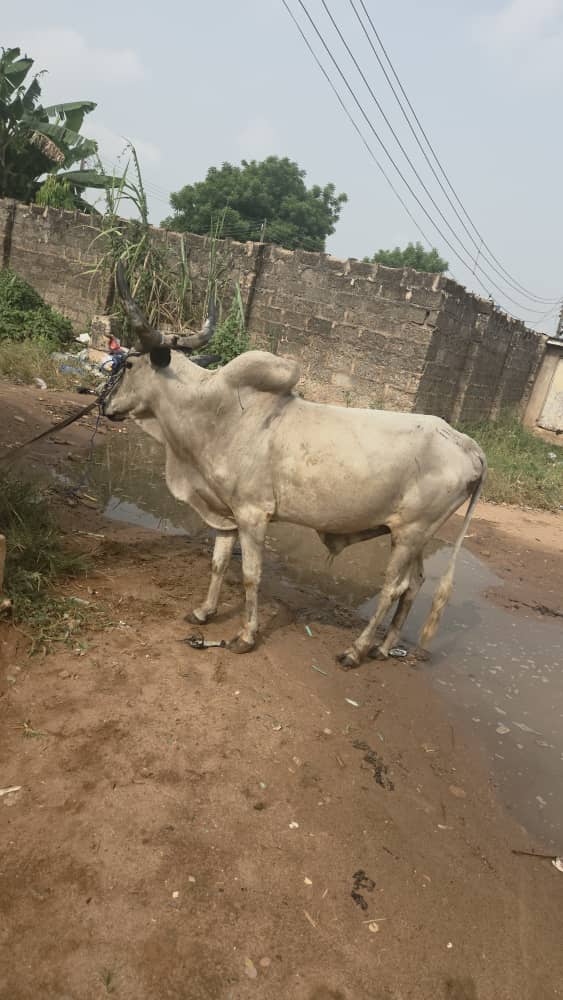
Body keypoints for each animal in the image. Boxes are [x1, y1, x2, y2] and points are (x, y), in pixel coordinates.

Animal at [103, 265, 487, 668]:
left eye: (130, 363)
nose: (107, 404)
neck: (216, 412)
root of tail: (467, 445)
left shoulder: (253, 514)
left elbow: (251, 574)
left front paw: (245, 636)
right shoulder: (225, 511)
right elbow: (218, 563)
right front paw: (204, 612)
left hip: (410, 533)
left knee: (392, 588)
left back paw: (356, 650)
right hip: (415, 537)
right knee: (414, 585)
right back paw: (383, 647)